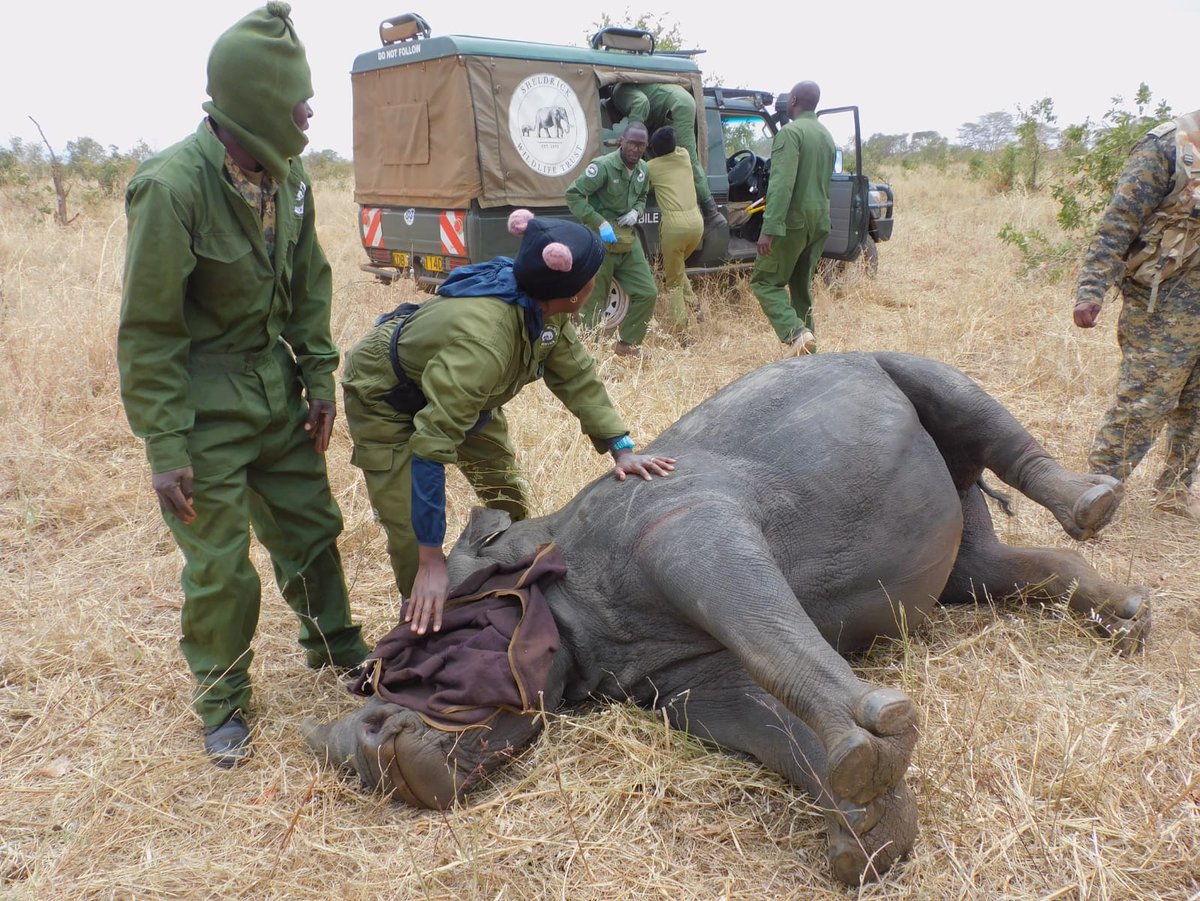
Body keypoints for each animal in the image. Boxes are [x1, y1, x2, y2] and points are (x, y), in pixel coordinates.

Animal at [304, 352, 1149, 886]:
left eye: (414, 646)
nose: (352, 746)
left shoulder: (681, 522)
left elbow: (767, 635)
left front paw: (872, 742)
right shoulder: (684, 687)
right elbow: (772, 729)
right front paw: (868, 834)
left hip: (905, 371)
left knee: (970, 410)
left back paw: (1096, 503)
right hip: (956, 550)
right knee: (985, 567)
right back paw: (1129, 618)